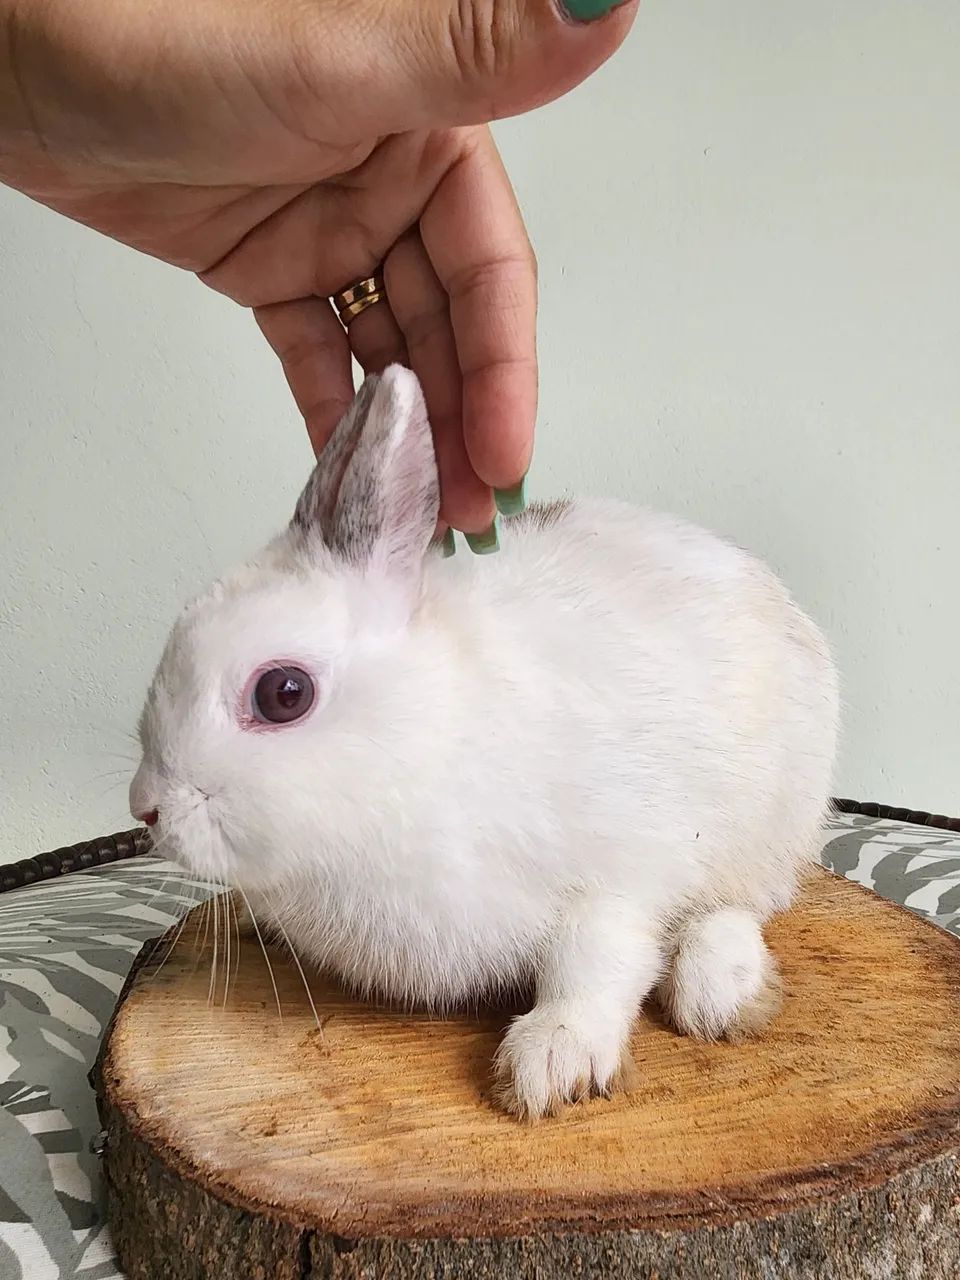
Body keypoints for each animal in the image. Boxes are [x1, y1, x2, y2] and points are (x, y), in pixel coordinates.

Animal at [130, 364, 839, 1120]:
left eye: (283, 693)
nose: (147, 807)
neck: (422, 744)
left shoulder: (613, 876)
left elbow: (599, 962)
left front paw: (551, 1065)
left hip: (770, 821)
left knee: (739, 907)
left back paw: (720, 992)